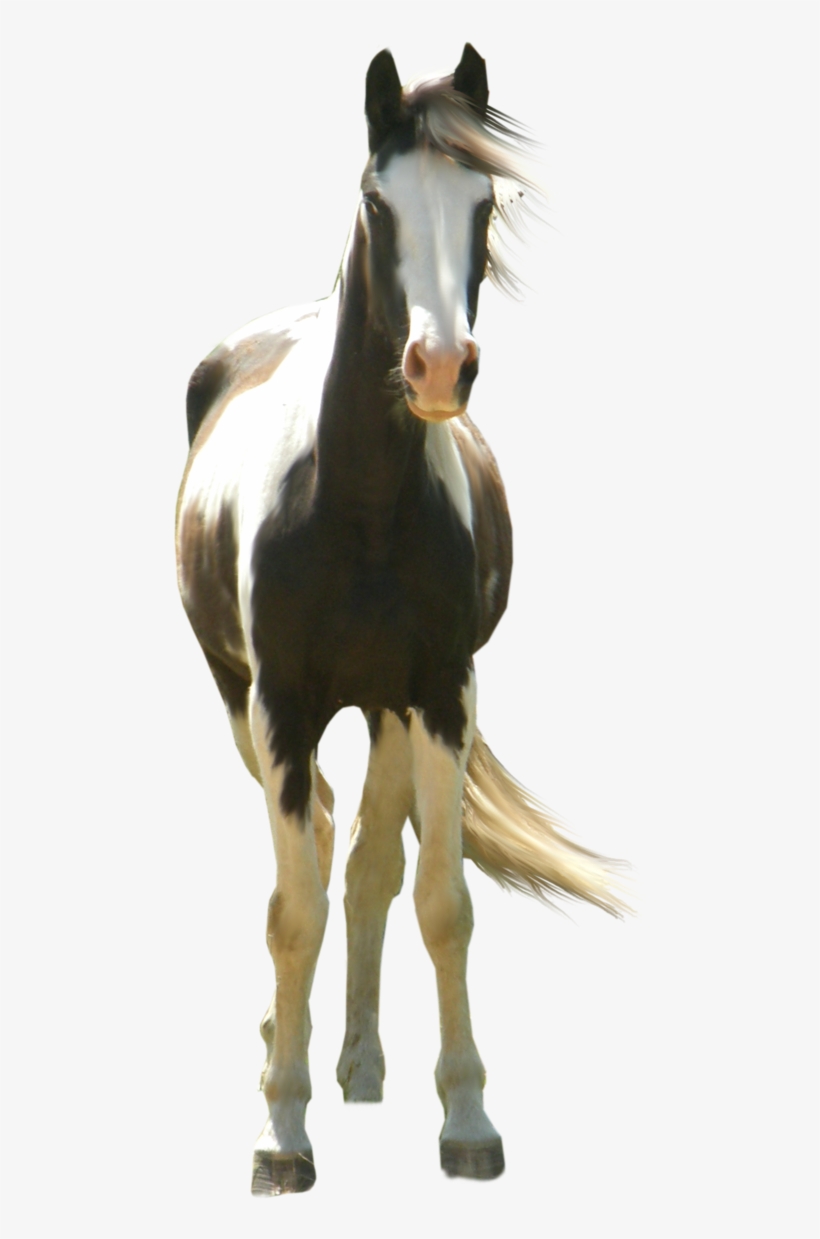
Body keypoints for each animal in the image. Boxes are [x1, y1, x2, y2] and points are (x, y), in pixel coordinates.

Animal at [176, 44, 626, 1196]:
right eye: (379, 199)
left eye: (485, 200)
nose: (437, 369)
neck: (360, 505)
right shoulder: (283, 707)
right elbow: (292, 910)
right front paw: (280, 1136)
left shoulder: (437, 694)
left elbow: (440, 900)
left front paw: (466, 1120)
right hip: (241, 702)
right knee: (324, 846)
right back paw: (285, 1054)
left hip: (385, 707)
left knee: (370, 861)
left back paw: (363, 1064)